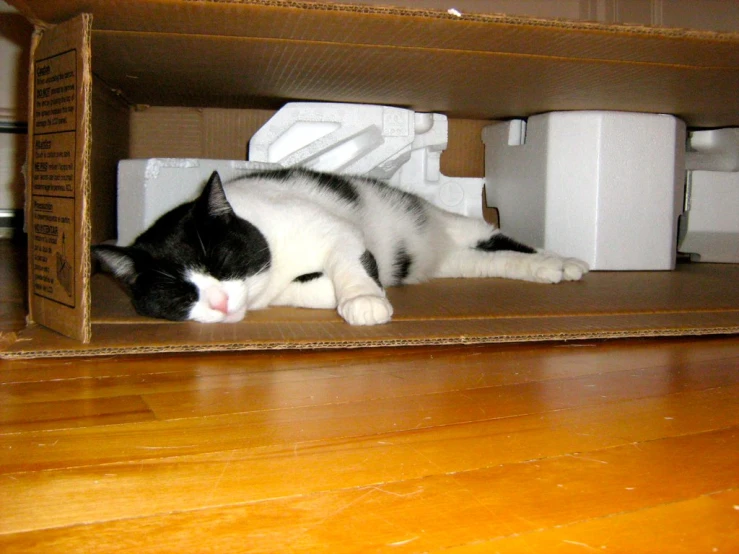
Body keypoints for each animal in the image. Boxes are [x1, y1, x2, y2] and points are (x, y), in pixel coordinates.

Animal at [92, 168, 588, 324]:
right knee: (494, 258)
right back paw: (550, 268)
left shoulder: (333, 229)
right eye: (180, 294)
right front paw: (363, 290)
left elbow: (350, 262)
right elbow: (314, 287)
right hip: (461, 262)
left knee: (501, 238)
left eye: (220, 259)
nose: (217, 303)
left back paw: (564, 262)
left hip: (458, 225)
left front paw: (364, 300)